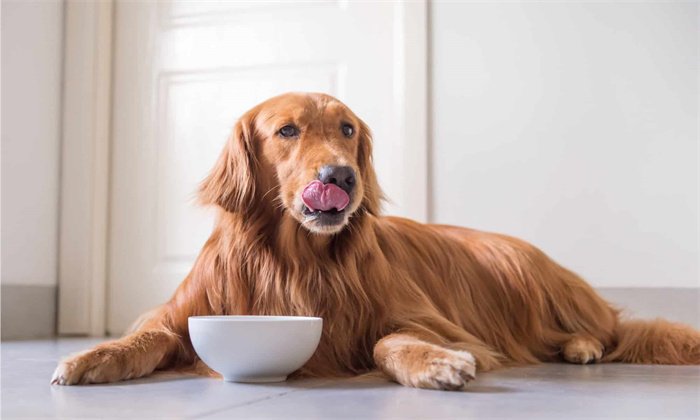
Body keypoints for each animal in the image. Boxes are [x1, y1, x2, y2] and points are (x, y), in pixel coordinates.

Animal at [53, 92, 700, 390]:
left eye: (347, 129)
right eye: (286, 131)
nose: (341, 176)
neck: (295, 259)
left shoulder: (426, 319)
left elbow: (393, 339)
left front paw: (435, 362)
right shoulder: (187, 310)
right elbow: (148, 337)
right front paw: (90, 357)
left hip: (520, 269)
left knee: (608, 330)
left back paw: (583, 345)